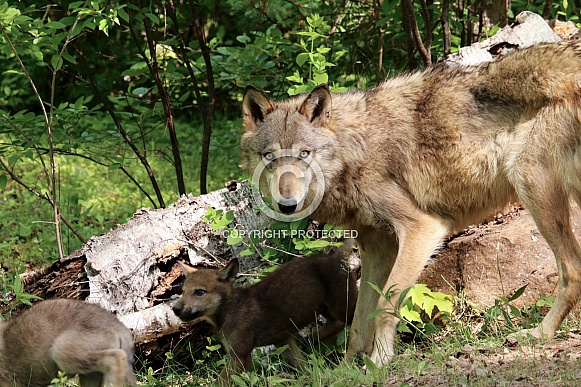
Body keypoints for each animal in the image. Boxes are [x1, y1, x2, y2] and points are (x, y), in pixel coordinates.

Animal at [170, 250, 356, 384]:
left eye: (199, 292)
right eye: (183, 291)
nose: (175, 309)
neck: (229, 311)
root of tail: (338, 256)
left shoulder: (240, 356)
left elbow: (220, 382)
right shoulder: (284, 341)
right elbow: (305, 368)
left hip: (344, 306)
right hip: (327, 309)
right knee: (336, 324)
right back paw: (312, 339)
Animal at [240, 41, 581, 368]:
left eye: (304, 154)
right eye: (269, 156)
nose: (287, 205)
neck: (355, 149)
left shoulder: (421, 229)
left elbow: (385, 304)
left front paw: (379, 361)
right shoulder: (377, 247)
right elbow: (360, 320)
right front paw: (348, 369)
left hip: (530, 185)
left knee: (572, 270)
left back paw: (539, 334)